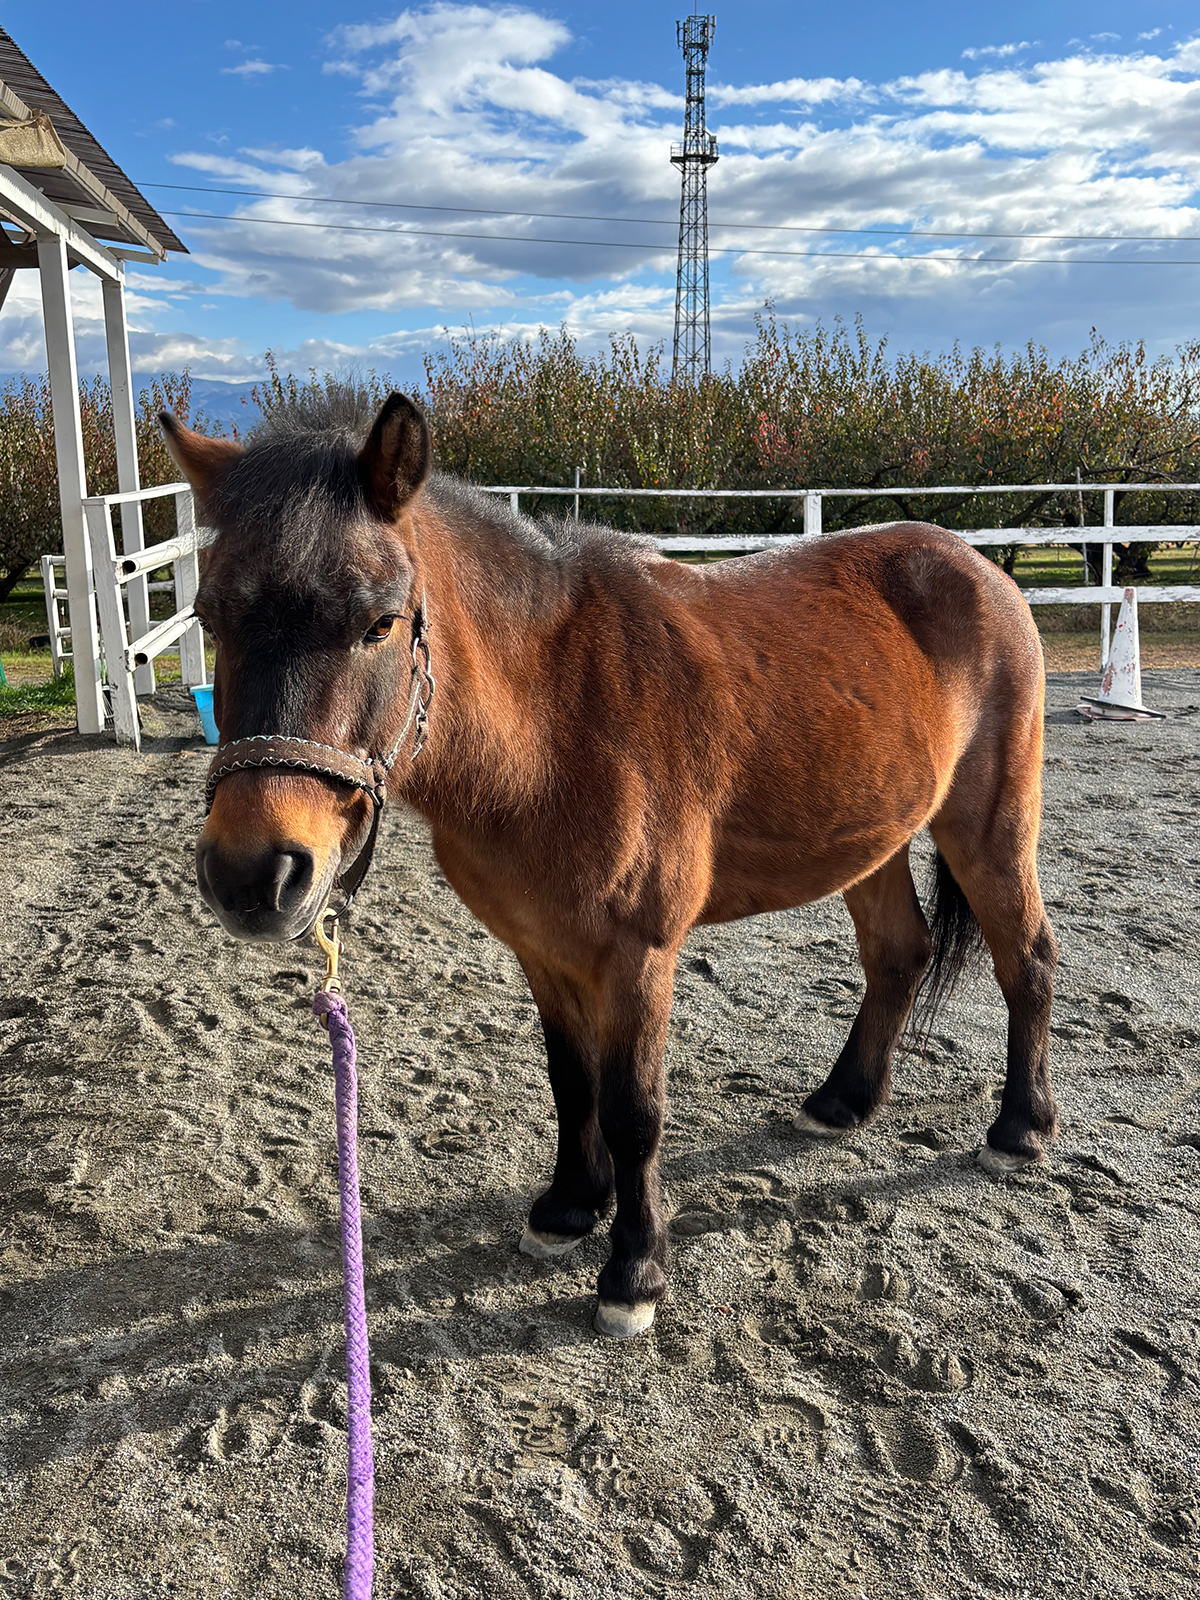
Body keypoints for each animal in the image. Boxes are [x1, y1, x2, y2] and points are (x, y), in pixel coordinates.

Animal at [161, 393, 1058, 1340]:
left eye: (380, 622)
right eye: (210, 620)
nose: (254, 875)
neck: (556, 722)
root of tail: (977, 567)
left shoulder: (637, 956)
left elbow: (633, 1110)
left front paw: (634, 1269)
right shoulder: (543, 948)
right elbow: (572, 1080)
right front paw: (568, 1207)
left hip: (989, 827)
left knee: (1026, 957)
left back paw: (1020, 1129)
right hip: (874, 838)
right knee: (898, 952)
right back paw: (842, 1101)